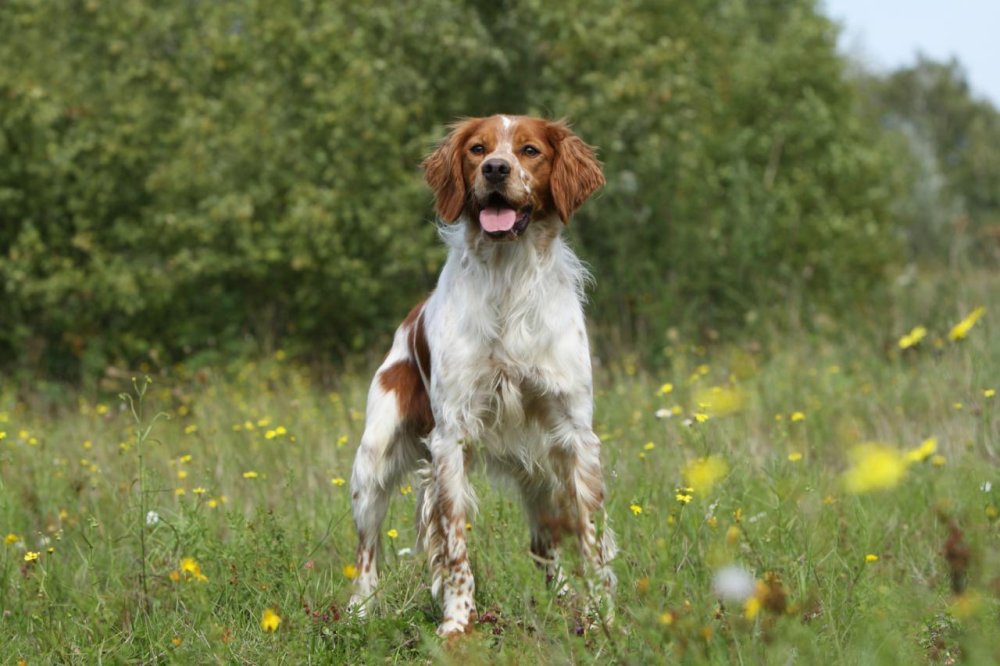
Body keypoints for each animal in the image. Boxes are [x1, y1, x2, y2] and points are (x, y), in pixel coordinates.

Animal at [348, 116, 612, 636]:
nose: (495, 169)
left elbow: (591, 540)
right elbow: (454, 547)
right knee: (367, 552)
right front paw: (456, 624)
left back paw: (561, 602)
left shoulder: (575, 437)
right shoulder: (450, 438)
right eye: (477, 148)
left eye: (529, 150)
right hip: (372, 461)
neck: (509, 278)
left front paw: (601, 618)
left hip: (539, 471)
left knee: (544, 546)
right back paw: (357, 613)